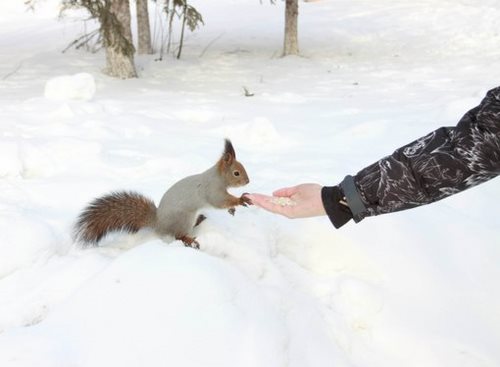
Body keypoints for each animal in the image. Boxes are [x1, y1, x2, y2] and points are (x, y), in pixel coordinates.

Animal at [73, 139, 254, 249]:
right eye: (236, 173)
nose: (248, 181)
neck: (217, 176)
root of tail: (158, 223)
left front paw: (232, 209)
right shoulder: (213, 190)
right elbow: (219, 201)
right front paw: (240, 200)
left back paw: (200, 219)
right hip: (184, 219)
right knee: (177, 235)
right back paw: (189, 239)